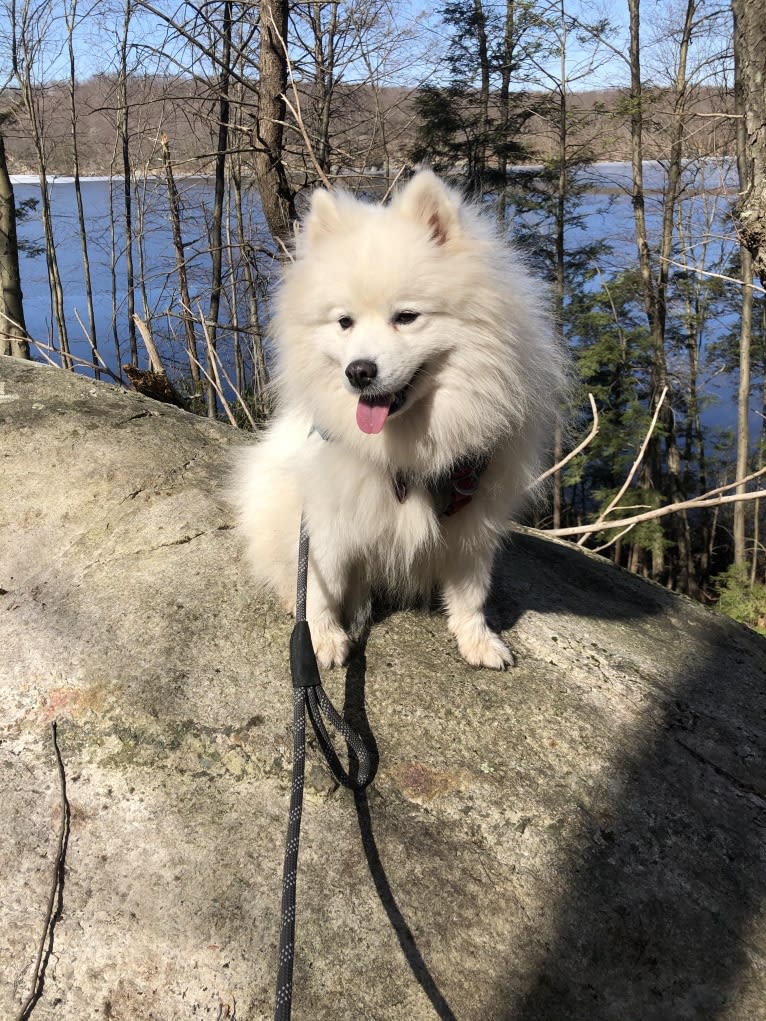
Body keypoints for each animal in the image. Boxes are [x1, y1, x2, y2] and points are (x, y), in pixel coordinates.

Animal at [230, 170, 567, 669]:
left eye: (406, 317)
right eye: (344, 322)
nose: (359, 371)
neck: (412, 445)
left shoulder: (474, 516)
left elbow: (472, 591)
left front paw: (478, 640)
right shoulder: (329, 515)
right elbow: (319, 587)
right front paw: (321, 639)